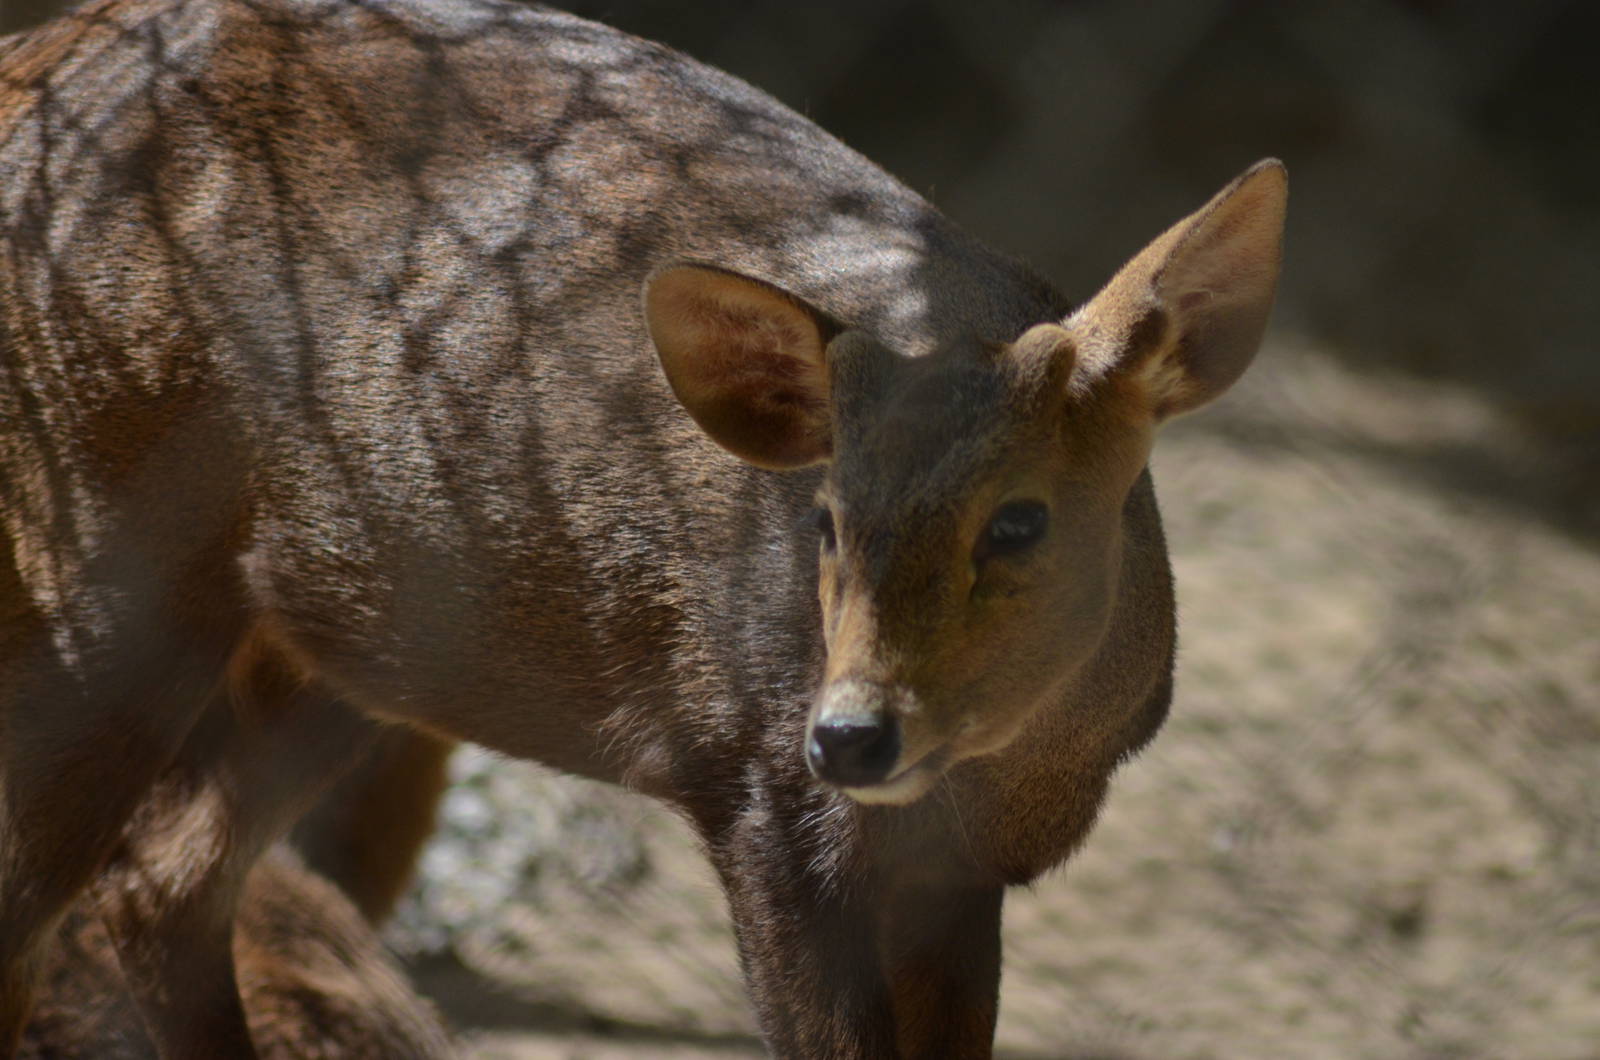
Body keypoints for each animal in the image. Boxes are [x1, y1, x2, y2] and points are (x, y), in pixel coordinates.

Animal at [0, 0, 1287, 1055]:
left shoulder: (957, 877)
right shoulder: (756, 792)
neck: (1006, 771)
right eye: (826, 519)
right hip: (97, 539)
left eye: (1020, 520)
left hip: (341, 635)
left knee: (161, 886)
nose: (850, 735)